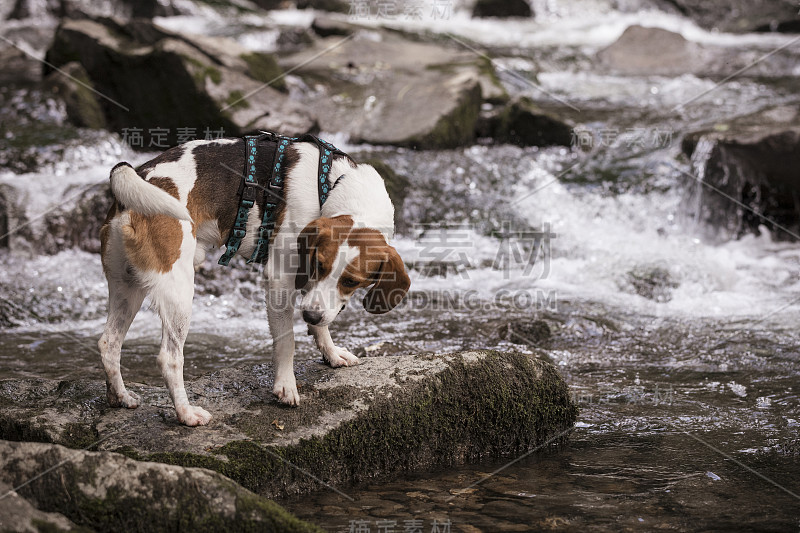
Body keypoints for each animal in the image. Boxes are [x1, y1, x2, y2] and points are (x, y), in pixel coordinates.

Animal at [99, 136, 410, 424]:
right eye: (320, 266)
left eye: (351, 281)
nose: (309, 315)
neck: (330, 185)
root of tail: (139, 177)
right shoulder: (280, 281)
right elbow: (287, 341)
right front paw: (285, 385)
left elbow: (321, 324)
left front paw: (331, 353)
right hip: (179, 291)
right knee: (169, 358)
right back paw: (186, 414)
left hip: (127, 287)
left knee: (109, 344)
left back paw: (120, 397)